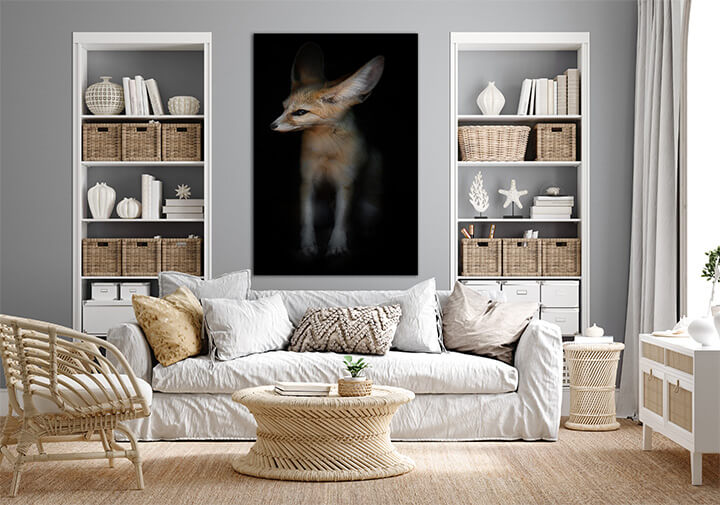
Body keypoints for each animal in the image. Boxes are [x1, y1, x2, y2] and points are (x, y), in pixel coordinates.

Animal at [270, 42, 385, 256]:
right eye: (284, 107)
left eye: (300, 112)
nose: (272, 126)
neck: (326, 151)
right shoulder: (307, 182)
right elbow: (307, 219)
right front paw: (308, 245)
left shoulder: (345, 184)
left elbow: (341, 220)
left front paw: (337, 244)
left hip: (369, 207)